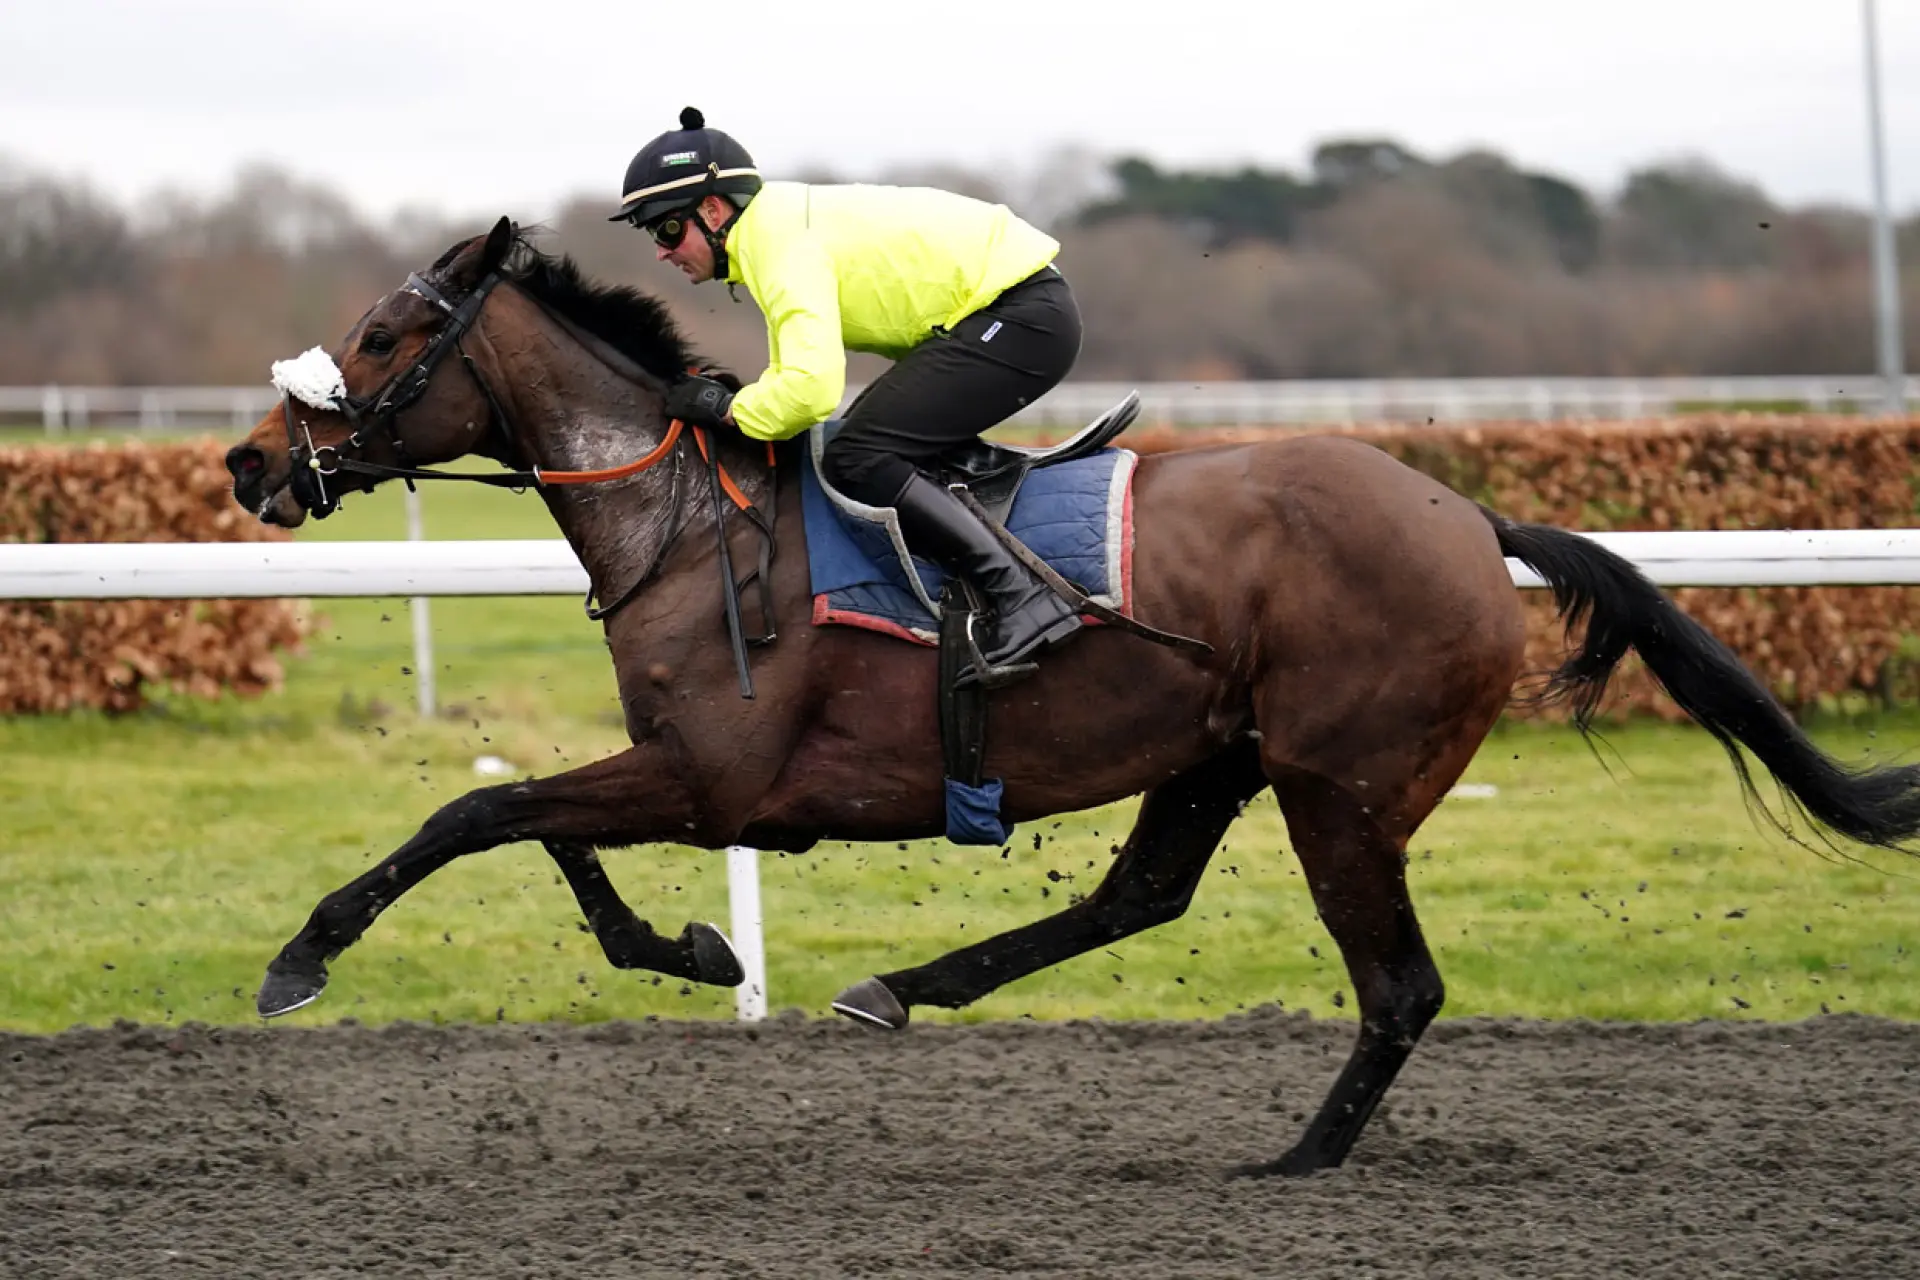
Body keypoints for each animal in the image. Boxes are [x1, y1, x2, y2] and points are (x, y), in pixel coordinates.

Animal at [220, 220, 1920, 1182]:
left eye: (382, 336)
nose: (247, 462)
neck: (689, 522)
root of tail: (1466, 516)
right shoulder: (682, 770)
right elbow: (535, 828)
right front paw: (694, 948)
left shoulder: (713, 776)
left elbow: (480, 812)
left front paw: (302, 955)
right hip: (1226, 753)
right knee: (1142, 895)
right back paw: (905, 986)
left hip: (1343, 785)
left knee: (1399, 987)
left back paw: (1299, 1161)